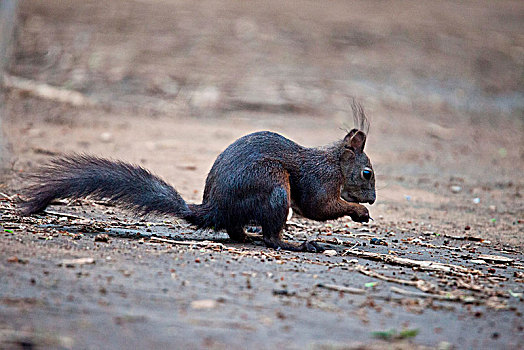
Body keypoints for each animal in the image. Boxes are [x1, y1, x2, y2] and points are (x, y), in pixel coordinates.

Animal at [18, 103, 374, 252]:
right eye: (367, 173)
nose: (372, 198)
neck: (334, 164)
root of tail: (213, 208)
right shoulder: (318, 180)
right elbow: (318, 207)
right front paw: (359, 212)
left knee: (235, 231)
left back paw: (248, 236)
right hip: (273, 187)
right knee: (271, 238)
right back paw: (298, 244)